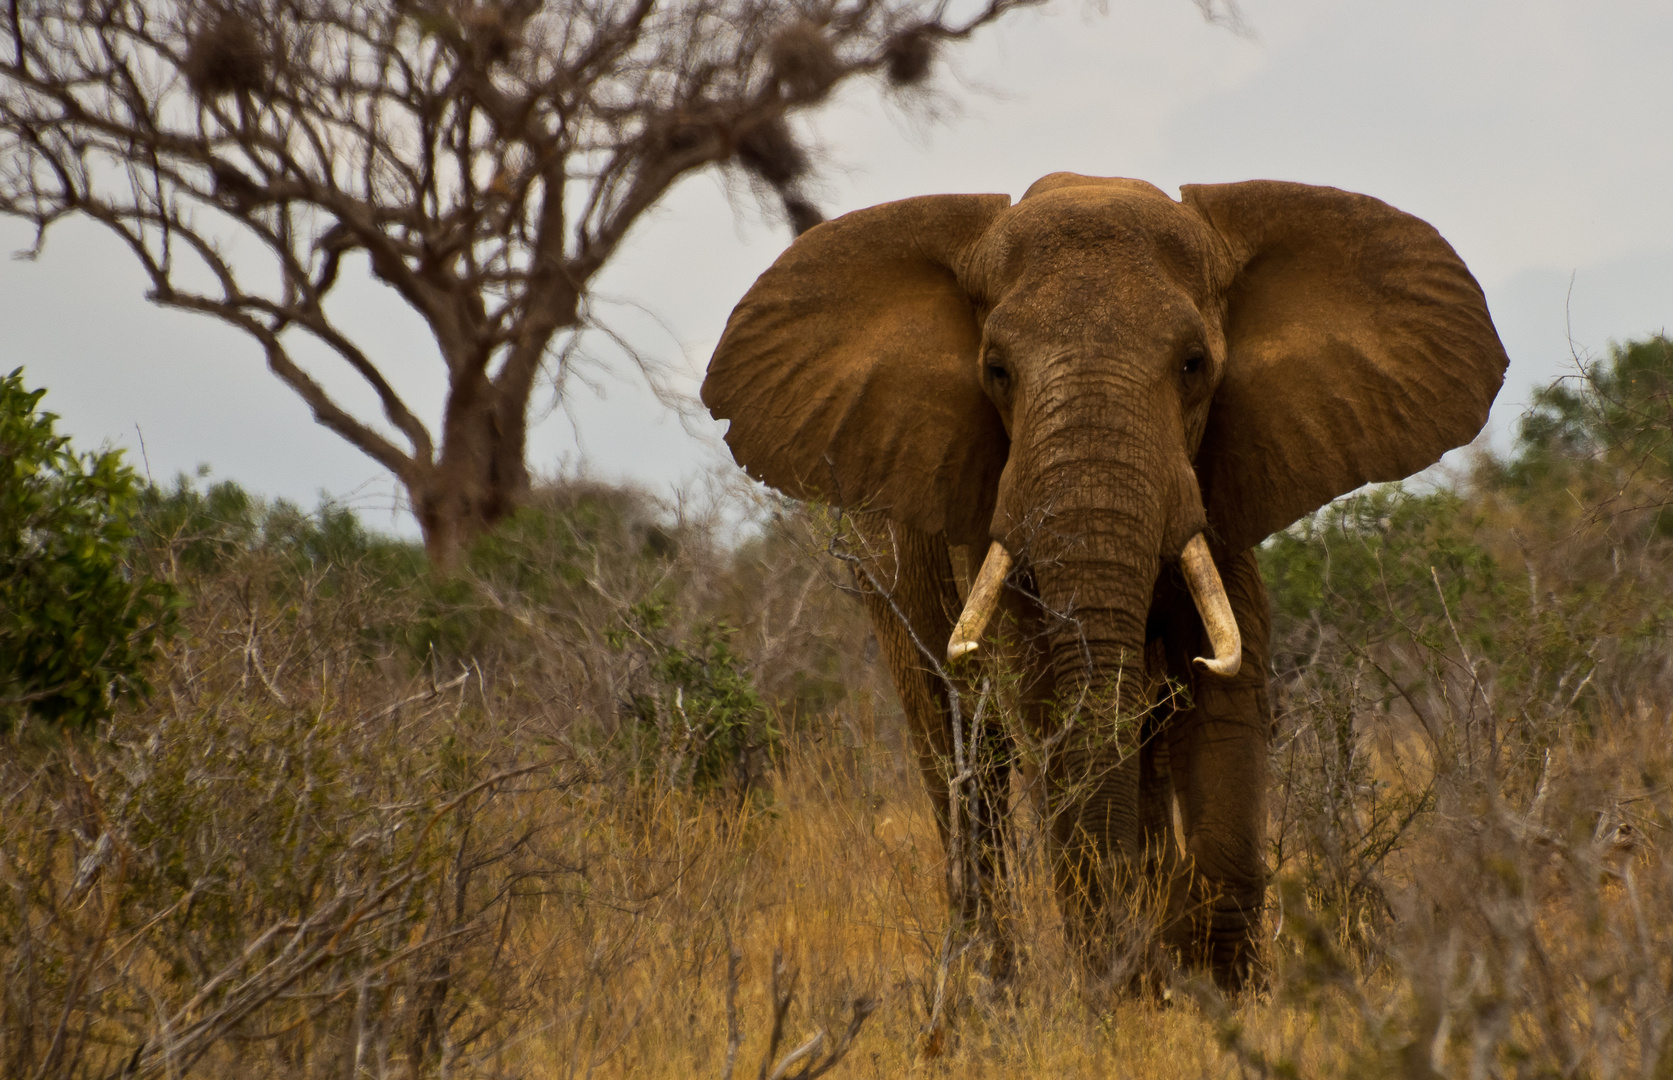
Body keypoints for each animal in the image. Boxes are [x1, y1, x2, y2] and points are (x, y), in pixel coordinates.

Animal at [699, 173, 1512, 996]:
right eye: (997, 370)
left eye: (1194, 364)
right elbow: (1048, 705)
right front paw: (1123, 987)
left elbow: (1225, 690)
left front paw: (1216, 989)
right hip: (880, 559)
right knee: (962, 755)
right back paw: (992, 992)